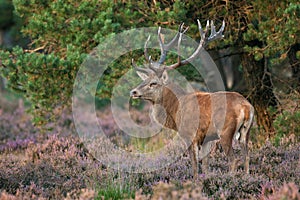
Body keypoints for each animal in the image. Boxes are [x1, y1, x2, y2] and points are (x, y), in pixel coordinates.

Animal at [130, 19, 254, 177]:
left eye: (154, 83)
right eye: (144, 80)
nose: (133, 92)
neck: (175, 110)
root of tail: (246, 107)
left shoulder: (189, 134)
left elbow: (194, 166)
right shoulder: (207, 139)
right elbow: (205, 165)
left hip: (225, 130)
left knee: (234, 160)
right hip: (246, 131)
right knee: (247, 157)